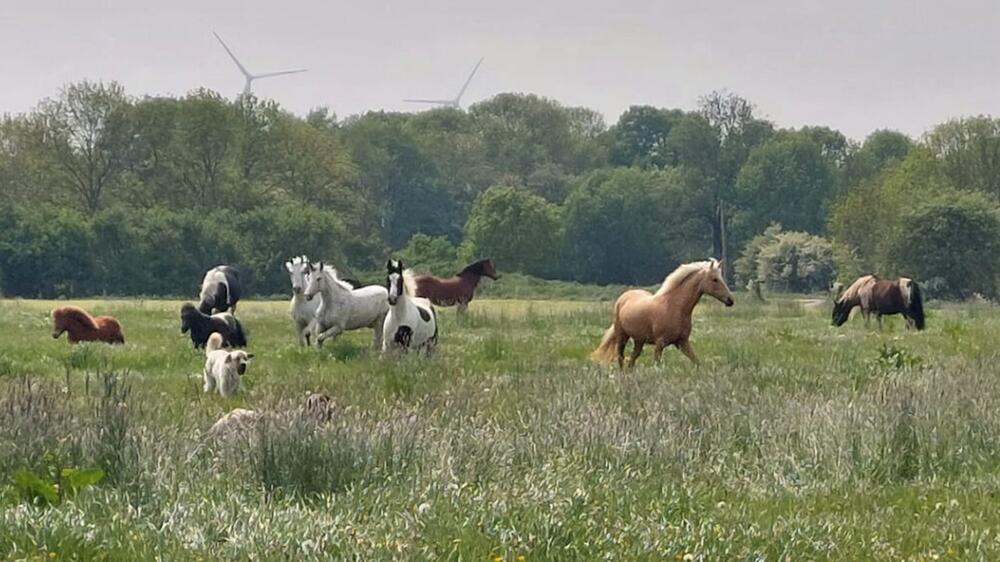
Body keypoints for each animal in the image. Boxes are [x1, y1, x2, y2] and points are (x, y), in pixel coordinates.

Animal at [584, 258, 736, 368]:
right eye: (714, 279)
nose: (730, 300)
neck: (674, 308)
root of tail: (624, 296)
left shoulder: (682, 342)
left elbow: (697, 362)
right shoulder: (660, 343)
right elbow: (658, 366)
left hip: (639, 340)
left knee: (632, 359)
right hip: (622, 336)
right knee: (621, 357)